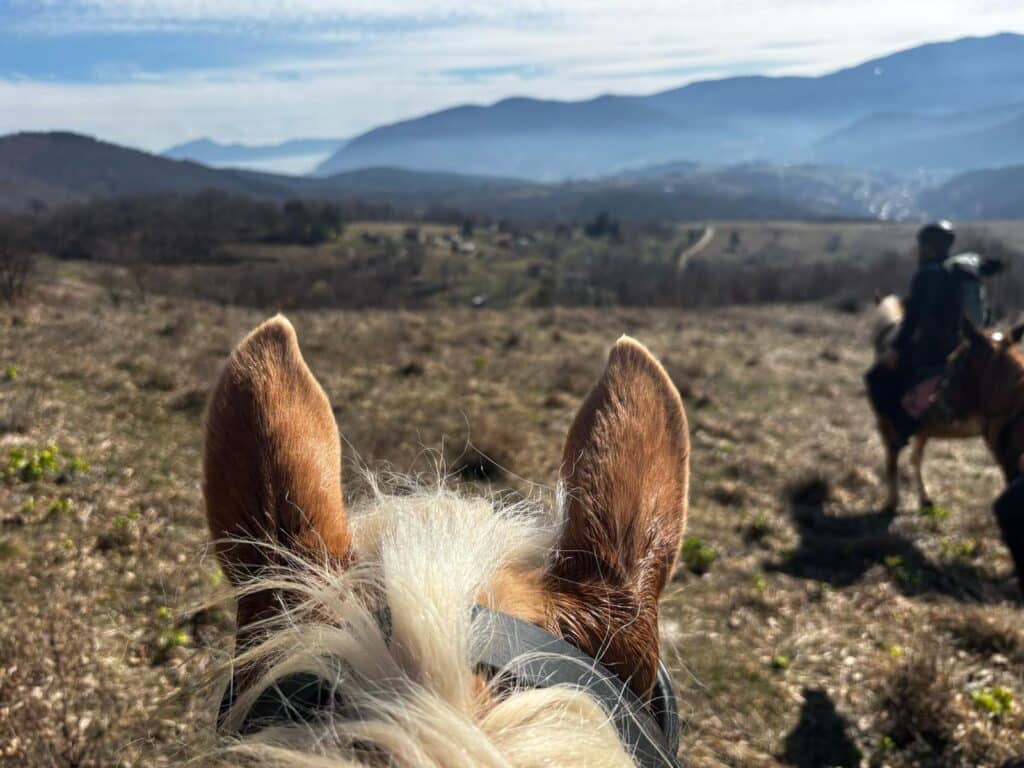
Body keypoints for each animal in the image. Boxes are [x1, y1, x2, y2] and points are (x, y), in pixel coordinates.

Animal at [870, 294, 981, 510]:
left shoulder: (887, 426)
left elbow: (892, 463)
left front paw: (892, 501)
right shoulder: (922, 431)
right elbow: (915, 459)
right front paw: (924, 499)